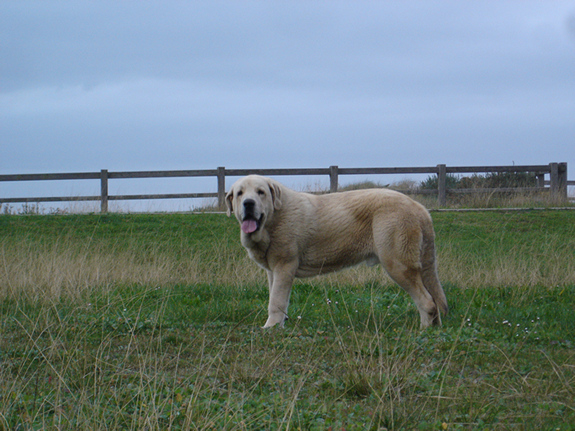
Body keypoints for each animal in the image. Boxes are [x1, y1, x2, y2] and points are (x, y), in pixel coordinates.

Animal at [226, 174, 450, 330]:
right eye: (240, 193)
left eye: (260, 192)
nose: (248, 203)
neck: (273, 220)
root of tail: (420, 207)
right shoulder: (273, 271)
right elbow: (276, 298)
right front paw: (280, 323)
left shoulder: (284, 266)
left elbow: (276, 301)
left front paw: (270, 327)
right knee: (433, 298)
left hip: (398, 265)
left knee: (427, 301)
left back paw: (423, 330)